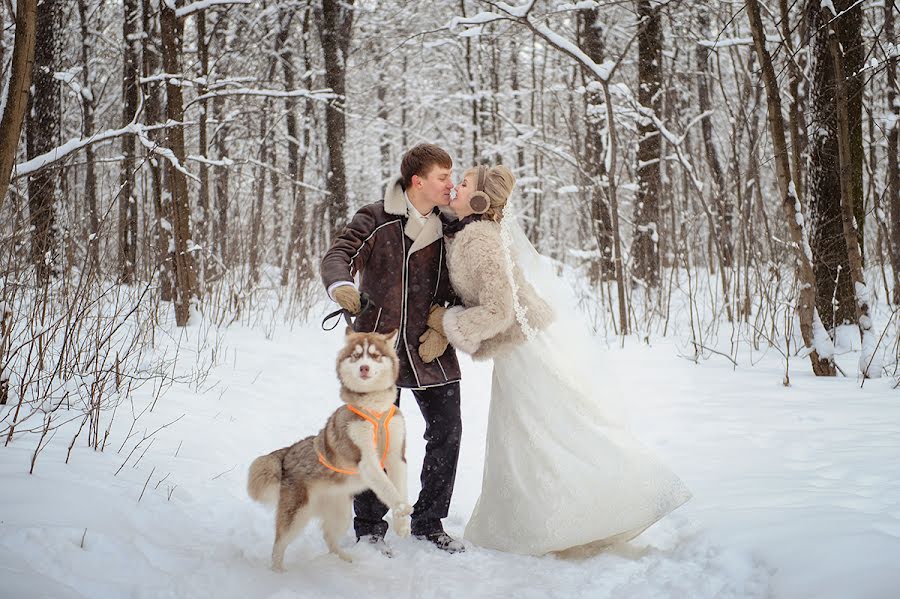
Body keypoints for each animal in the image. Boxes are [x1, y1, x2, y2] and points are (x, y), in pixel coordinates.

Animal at [250, 330, 412, 568]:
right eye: (356, 356)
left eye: (374, 355)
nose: (364, 368)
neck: (374, 408)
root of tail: (286, 453)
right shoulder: (365, 457)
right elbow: (387, 487)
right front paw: (401, 509)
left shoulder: (397, 456)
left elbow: (399, 486)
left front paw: (403, 524)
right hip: (297, 515)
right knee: (279, 545)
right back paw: (277, 572)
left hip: (341, 512)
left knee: (329, 537)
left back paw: (344, 559)